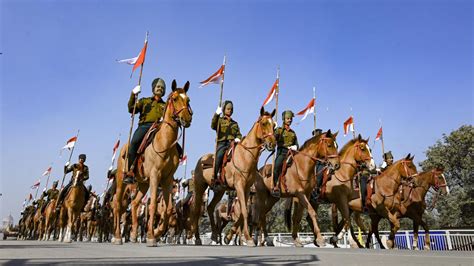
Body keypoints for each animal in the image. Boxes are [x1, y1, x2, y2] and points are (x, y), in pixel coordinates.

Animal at [113, 80, 193, 246]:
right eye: (175, 98)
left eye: (188, 100)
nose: (187, 119)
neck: (164, 143)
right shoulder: (155, 176)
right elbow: (153, 205)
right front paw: (151, 236)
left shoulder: (168, 179)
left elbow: (168, 209)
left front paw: (156, 232)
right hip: (121, 180)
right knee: (118, 204)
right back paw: (117, 236)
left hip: (143, 183)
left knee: (135, 203)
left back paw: (133, 235)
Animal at [189, 107, 278, 246]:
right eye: (264, 123)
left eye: (274, 125)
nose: (272, 144)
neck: (245, 156)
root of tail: (201, 159)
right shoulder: (239, 186)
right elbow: (244, 212)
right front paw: (248, 238)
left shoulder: (246, 188)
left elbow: (242, 212)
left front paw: (229, 236)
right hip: (199, 187)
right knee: (196, 210)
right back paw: (197, 238)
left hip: (219, 190)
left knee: (210, 207)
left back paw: (214, 236)